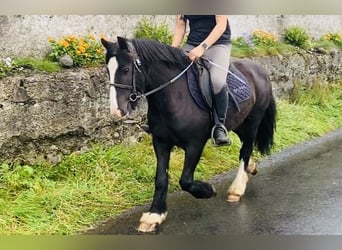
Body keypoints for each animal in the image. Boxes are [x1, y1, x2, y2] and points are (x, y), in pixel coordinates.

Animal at [100, 36, 276, 232]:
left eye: (125, 69)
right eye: (108, 70)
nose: (117, 111)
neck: (175, 95)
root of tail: (259, 69)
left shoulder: (195, 144)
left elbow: (185, 181)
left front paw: (208, 191)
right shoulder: (161, 142)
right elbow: (161, 178)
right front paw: (154, 215)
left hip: (253, 120)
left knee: (245, 149)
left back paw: (236, 189)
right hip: (240, 122)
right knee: (245, 146)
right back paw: (250, 168)